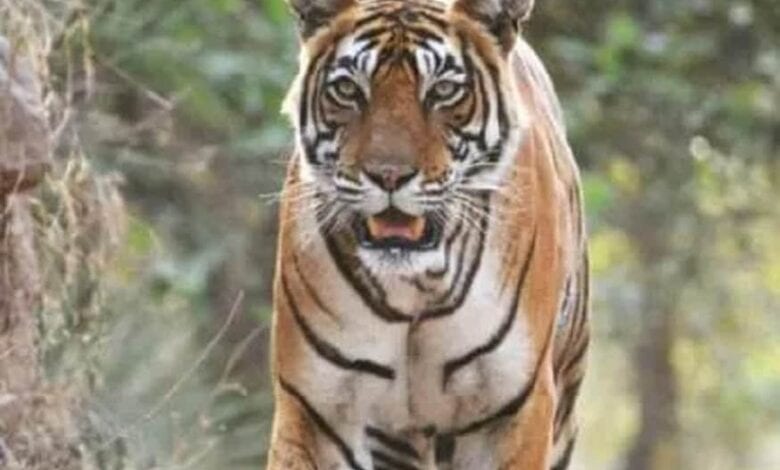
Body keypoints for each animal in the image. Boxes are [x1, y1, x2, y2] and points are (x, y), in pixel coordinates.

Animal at [267, 0, 589, 468]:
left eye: (443, 91)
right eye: (347, 89)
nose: (388, 175)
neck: (414, 287)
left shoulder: (513, 410)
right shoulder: (317, 409)